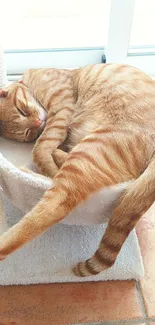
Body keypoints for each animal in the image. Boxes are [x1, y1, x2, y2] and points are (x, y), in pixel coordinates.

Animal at [0, 64, 155, 276]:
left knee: (54, 207)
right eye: (26, 133)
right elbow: (44, 146)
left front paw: (48, 166)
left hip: (90, 152)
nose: (38, 123)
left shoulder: (62, 106)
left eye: (20, 110)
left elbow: (40, 149)